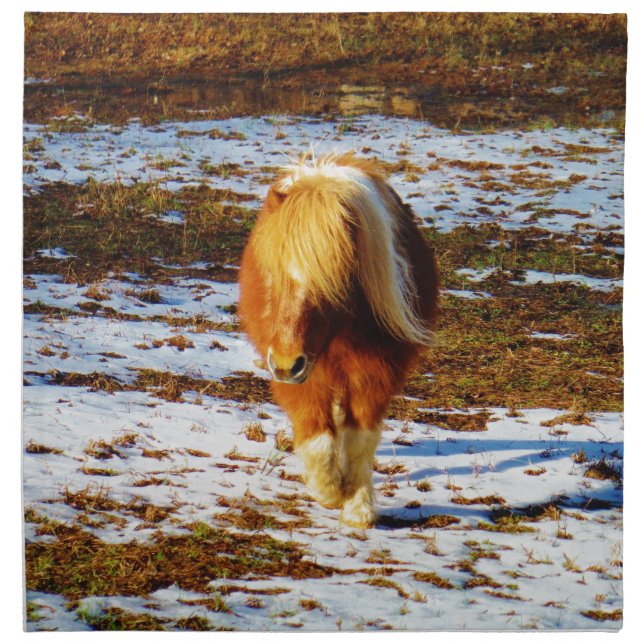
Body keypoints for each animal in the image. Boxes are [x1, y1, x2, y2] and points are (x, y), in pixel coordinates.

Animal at [238, 152, 439, 528]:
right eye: (272, 275)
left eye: (332, 283)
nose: (286, 364)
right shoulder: (301, 376)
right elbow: (316, 434)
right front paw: (329, 490)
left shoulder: (375, 374)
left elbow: (360, 439)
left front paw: (358, 506)